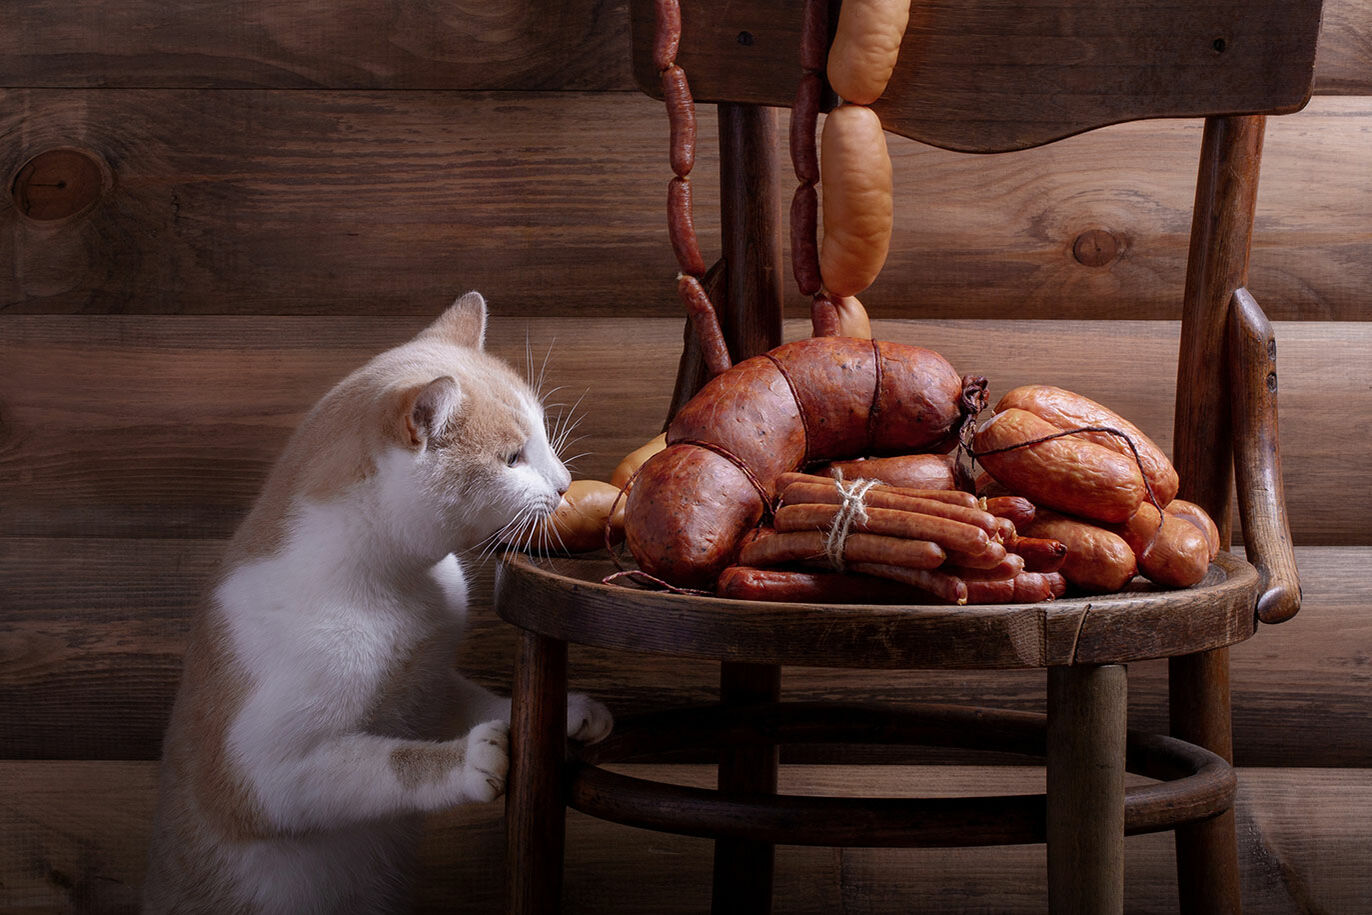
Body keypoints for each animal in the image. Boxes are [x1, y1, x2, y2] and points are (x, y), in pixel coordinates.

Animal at [144, 293, 611, 915]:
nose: (562, 484)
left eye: (540, 435)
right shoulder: (263, 774)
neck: (395, 583)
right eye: (512, 459)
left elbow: (483, 702)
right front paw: (470, 760)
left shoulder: (428, 686)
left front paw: (568, 712)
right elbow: (386, 762)